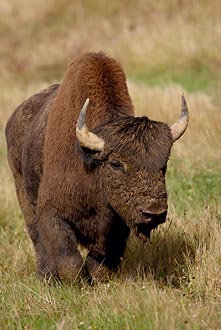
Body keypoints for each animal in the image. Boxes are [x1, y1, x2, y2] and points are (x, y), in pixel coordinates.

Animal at [5, 51, 188, 282]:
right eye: (115, 164)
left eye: (164, 164)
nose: (154, 213)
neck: (91, 165)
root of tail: (14, 118)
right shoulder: (53, 214)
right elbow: (69, 260)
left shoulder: (116, 227)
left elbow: (101, 262)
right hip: (22, 191)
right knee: (37, 237)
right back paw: (45, 274)